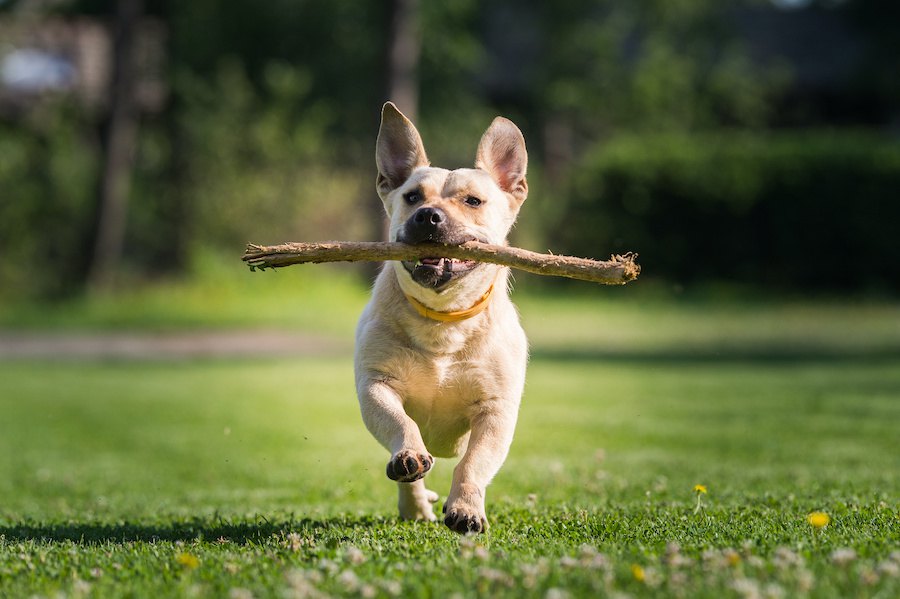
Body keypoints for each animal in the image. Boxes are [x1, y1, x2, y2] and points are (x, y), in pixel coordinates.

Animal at [356, 104, 532, 536]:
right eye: (411, 197)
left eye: (473, 201)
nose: (427, 215)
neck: (444, 316)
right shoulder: (376, 385)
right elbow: (400, 422)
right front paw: (410, 456)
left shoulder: (495, 410)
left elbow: (475, 462)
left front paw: (466, 508)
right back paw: (415, 501)